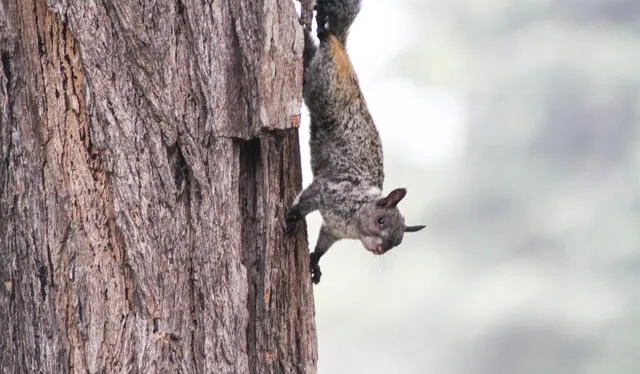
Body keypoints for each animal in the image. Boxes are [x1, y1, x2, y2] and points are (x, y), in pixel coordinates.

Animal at [286, 0, 424, 284]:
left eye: (398, 242)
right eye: (382, 221)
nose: (379, 249)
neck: (355, 223)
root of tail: (343, 51)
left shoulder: (333, 230)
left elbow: (324, 243)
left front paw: (315, 261)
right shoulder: (330, 192)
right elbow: (307, 199)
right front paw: (293, 215)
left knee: (309, 51)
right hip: (324, 83)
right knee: (322, 45)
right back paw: (322, 30)